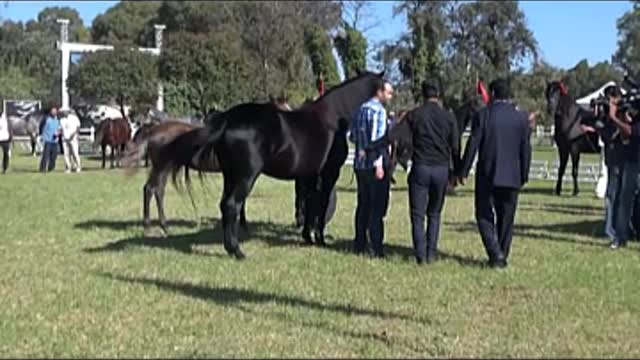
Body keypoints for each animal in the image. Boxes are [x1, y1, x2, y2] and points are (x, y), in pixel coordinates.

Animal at [168, 70, 382, 258]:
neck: (334, 117)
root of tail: (228, 119)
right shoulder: (329, 175)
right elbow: (320, 206)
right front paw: (320, 239)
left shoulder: (310, 176)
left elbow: (309, 204)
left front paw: (307, 236)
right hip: (246, 176)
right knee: (232, 205)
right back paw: (237, 251)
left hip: (230, 176)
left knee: (224, 205)